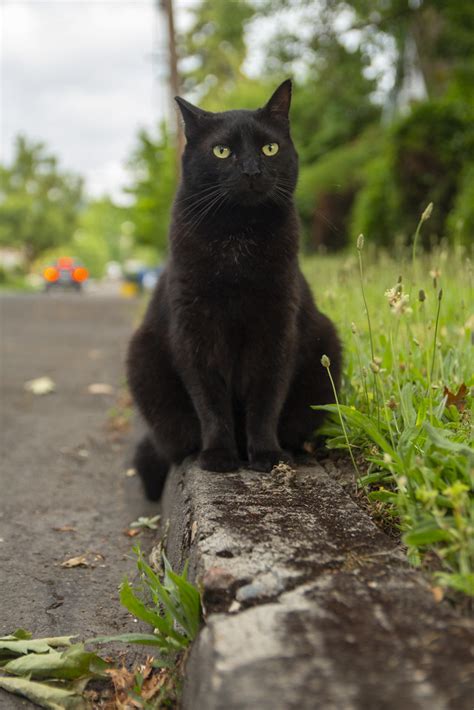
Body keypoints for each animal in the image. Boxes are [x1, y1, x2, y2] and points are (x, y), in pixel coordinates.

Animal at [126, 82, 340, 500]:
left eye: (269, 148)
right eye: (221, 151)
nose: (252, 170)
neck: (237, 241)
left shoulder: (277, 328)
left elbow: (266, 399)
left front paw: (267, 455)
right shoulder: (194, 331)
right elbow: (210, 401)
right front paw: (218, 456)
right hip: (142, 360)